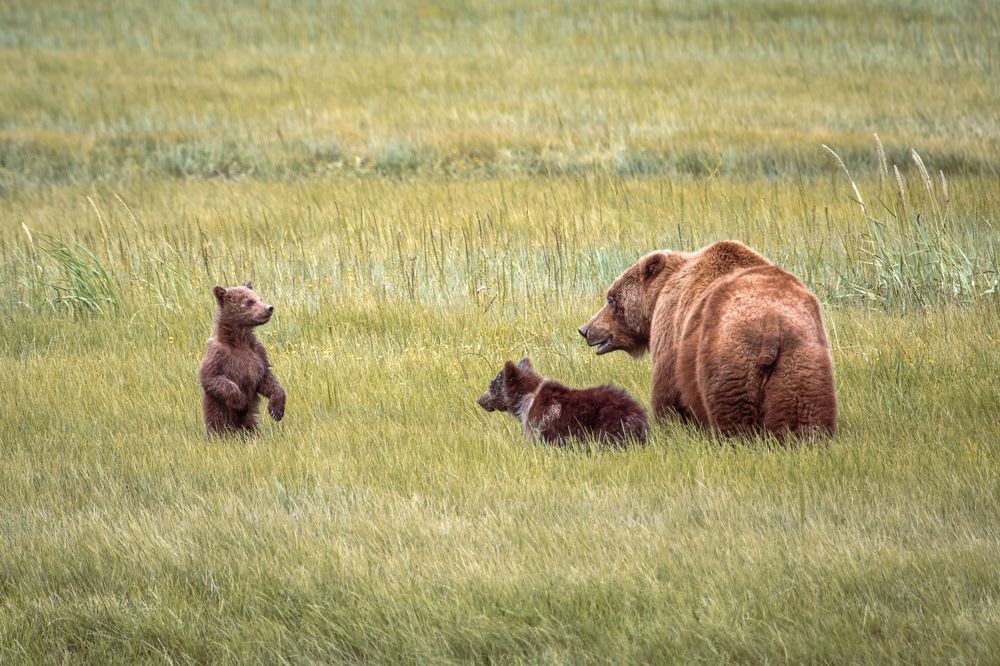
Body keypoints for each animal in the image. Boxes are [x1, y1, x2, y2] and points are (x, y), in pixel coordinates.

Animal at [199, 281, 285, 436]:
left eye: (260, 298)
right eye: (249, 301)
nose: (269, 308)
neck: (239, 341)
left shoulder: (258, 354)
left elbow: (267, 378)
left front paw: (276, 410)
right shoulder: (218, 354)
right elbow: (212, 377)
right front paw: (242, 404)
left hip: (250, 422)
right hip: (218, 415)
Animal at [578, 240, 836, 438]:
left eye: (610, 299)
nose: (585, 329)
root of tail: (771, 323)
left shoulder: (670, 327)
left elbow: (668, 391)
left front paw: (671, 426)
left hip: (730, 354)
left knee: (735, 413)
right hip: (801, 359)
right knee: (802, 411)